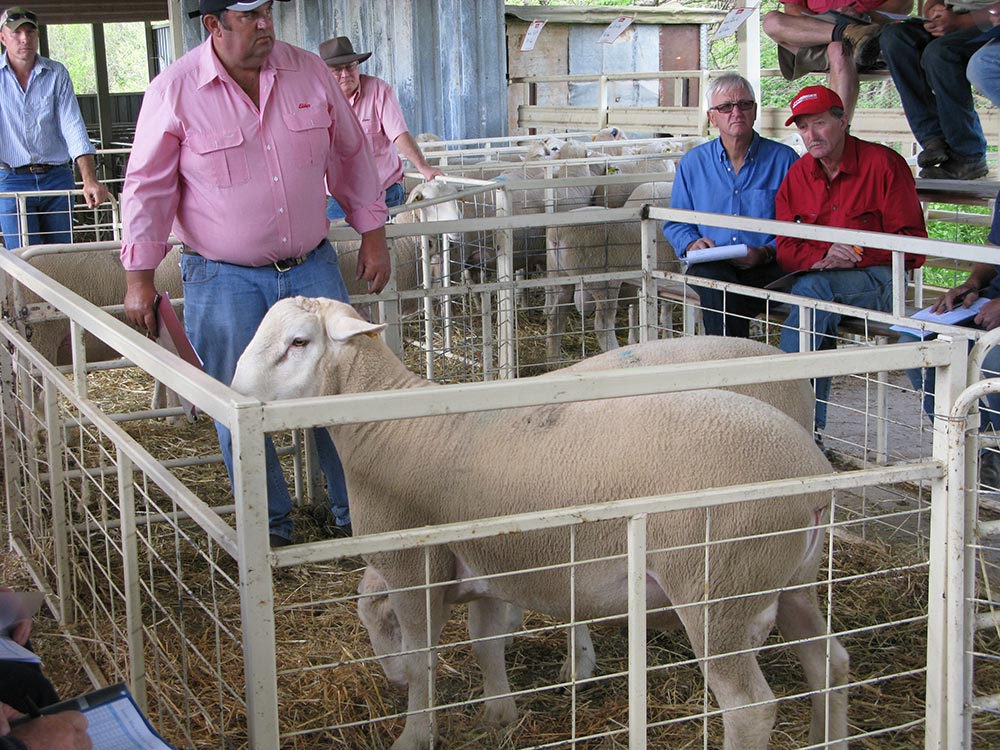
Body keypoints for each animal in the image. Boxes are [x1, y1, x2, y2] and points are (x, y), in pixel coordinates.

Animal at [232, 298, 844, 750]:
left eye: (298, 343)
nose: (236, 396)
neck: (385, 423)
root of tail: (811, 472)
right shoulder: (490, 566)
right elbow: (485, 644)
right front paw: (499, 715)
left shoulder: (414, 568)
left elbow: (425, 657)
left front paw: (415, 730)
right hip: (791, 580)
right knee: (830, 662)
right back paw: (828, 737)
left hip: (716, 589)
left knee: (751, 708)